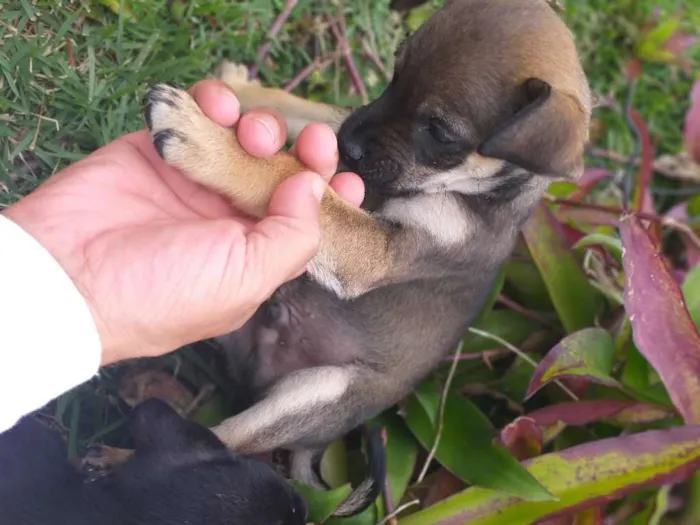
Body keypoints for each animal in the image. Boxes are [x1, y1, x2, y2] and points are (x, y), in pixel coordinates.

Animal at [142, 0, 592, 516]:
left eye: (441, 133)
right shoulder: (339, 122)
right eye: (394, 71)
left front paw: (209, 145)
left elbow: (293, 180)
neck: (479, 193)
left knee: (224, 440)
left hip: (318, 392)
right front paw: (239, 89)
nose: (347, 145)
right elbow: (302, 111)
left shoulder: (380, 251)